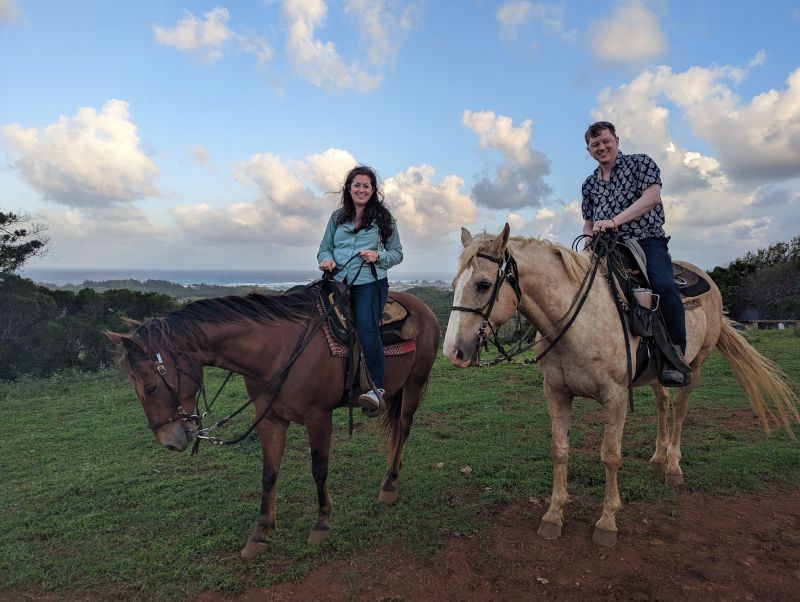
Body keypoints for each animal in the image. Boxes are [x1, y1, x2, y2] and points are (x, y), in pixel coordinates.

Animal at [104, 286, 438, 556]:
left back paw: (390, 484)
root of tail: (424, 308)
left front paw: (321, 522)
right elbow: (269, 473)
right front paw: (260, 533)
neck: (278, 351)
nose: (169, 441)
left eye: (150, 387)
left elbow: (319, 470)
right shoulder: (269, 418)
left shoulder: (319, 417)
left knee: (403, 429)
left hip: (414, 385)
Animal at [444, 224, 800, 544]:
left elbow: (610, 456)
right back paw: (657, 457)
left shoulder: (615, 397)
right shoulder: (556, 392)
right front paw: (554, 515)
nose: (453, 352)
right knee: (663, 403)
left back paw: (672, 466)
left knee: (680, 410)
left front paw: (607, 521)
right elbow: (559, 451)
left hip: (694, 367)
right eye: (454, 284)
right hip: (656, 374)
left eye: (483, 284)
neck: (578, 321)